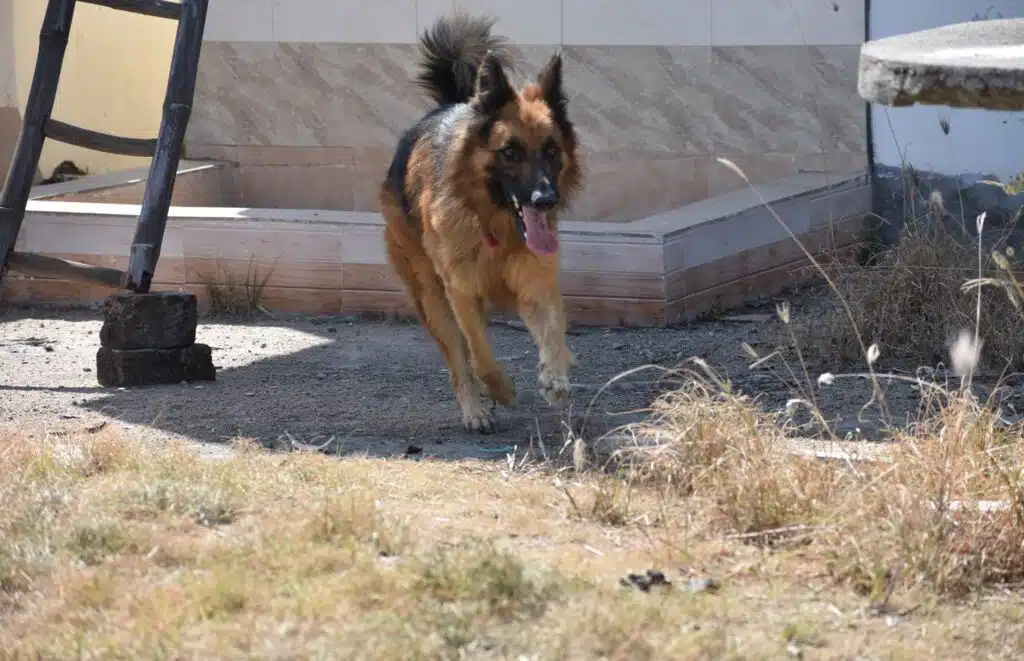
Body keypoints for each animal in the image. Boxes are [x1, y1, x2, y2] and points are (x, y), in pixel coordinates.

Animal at [380, 14, 585, 435]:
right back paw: (474, 409)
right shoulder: (461, 292)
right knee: (458, 362)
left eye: (551, 150)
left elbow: (552, 332)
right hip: (431, 298)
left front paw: (556, 374)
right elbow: (479, 353)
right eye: (509, 152)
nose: (545, 200)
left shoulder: (536, 284)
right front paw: (501, 389)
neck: (496, 227)